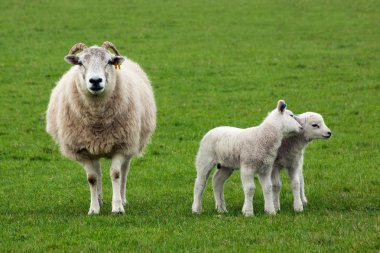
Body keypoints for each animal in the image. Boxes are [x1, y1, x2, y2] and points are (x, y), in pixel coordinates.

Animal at [46, 42, 156, 215]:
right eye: (81, 63)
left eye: (109, 62)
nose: (95, 81)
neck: (97, 120)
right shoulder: (82, 149)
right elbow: (92, 178)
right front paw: (94, 209)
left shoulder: (121, 145)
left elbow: (116, 174)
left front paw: (117, 207)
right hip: (93, 148)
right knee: (97, 171)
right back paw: (99, 199)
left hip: (131, 143)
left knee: (124, 171)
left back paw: (122, 198)